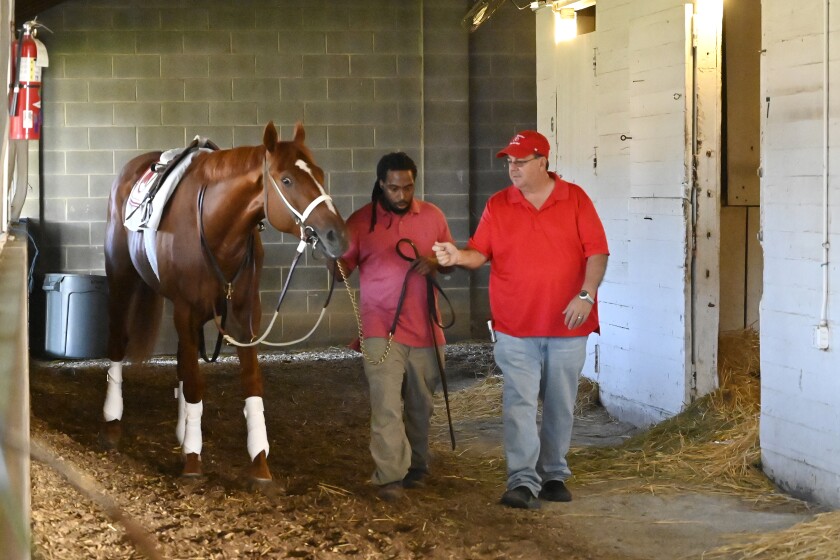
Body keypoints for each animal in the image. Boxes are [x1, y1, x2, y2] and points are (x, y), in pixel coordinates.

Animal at [102, 122, 348, 482]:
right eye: (287, 180)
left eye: (319, 174)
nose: (337, 236)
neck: (216, 225)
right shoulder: (186, 311)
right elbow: (195, 382)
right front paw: (193, 459)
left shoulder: (245, 316)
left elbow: (250, 381)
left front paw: (259, 461)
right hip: (122, 280)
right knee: (119, 342)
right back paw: (112, 420)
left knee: (181, 360)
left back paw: (180, 433)